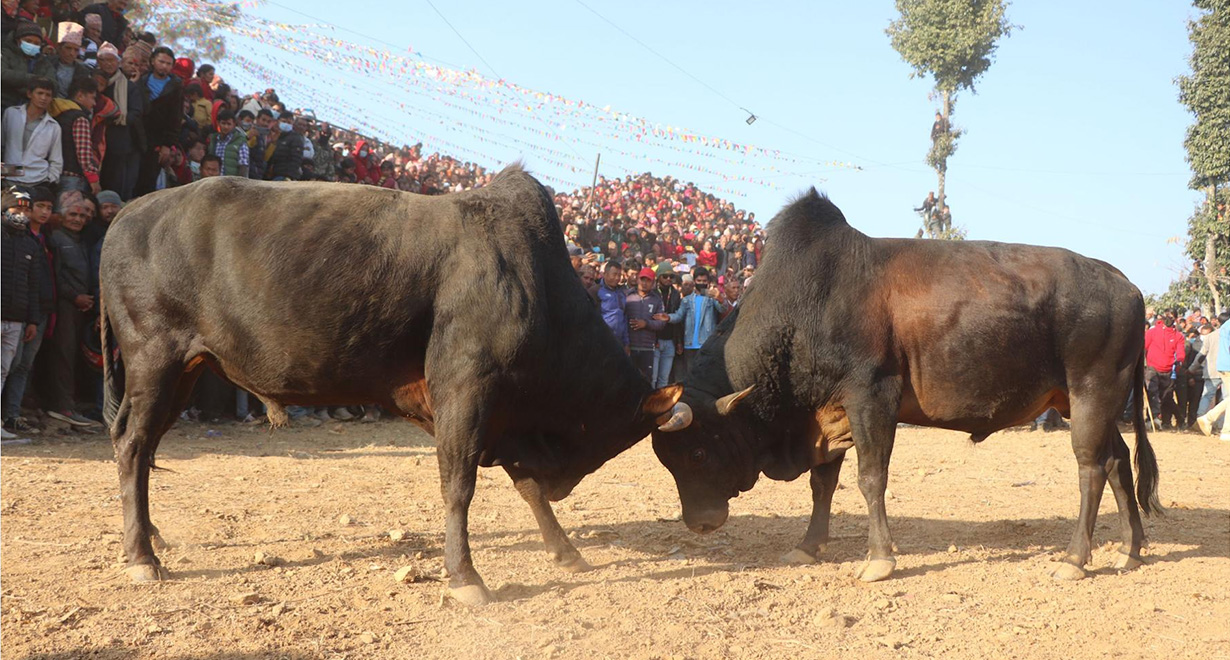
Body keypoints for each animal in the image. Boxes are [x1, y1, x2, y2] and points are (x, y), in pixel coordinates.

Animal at [654, 189, 1161, 582]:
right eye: (669, 461)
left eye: (698, 453)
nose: (699, 524)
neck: (805, 305)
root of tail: (1125, 283)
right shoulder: (827, 411)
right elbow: (823, 483)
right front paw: (808, 546)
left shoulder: (870, 396)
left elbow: (870, 478)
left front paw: (879, 559)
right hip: (1088, 402)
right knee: (1119, 461)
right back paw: (1129, 549)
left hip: (1093, 390)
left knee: (1092, 468)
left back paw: (1075, 559)